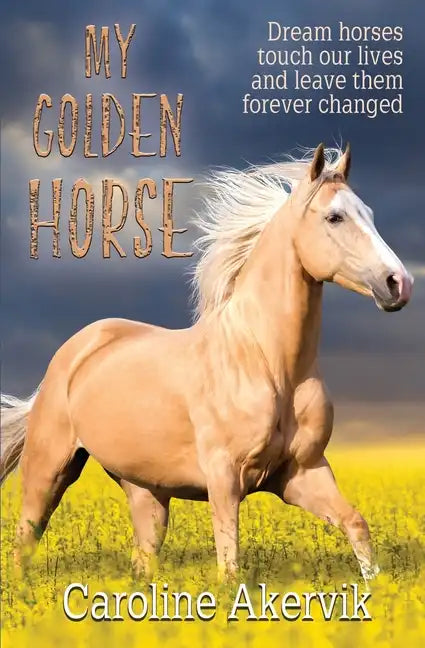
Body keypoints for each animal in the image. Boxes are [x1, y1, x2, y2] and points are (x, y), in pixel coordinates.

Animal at [0, 144, 413, 581]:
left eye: (369, 213)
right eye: (334, 217)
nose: (399, 284)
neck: (268, 364)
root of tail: (75, 351)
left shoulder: (303, 473)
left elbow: (356, 524)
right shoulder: (224, 477)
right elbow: (229, 565)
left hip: (146, 491)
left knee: (142, 559)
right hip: (49, 469)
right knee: (25, 539)